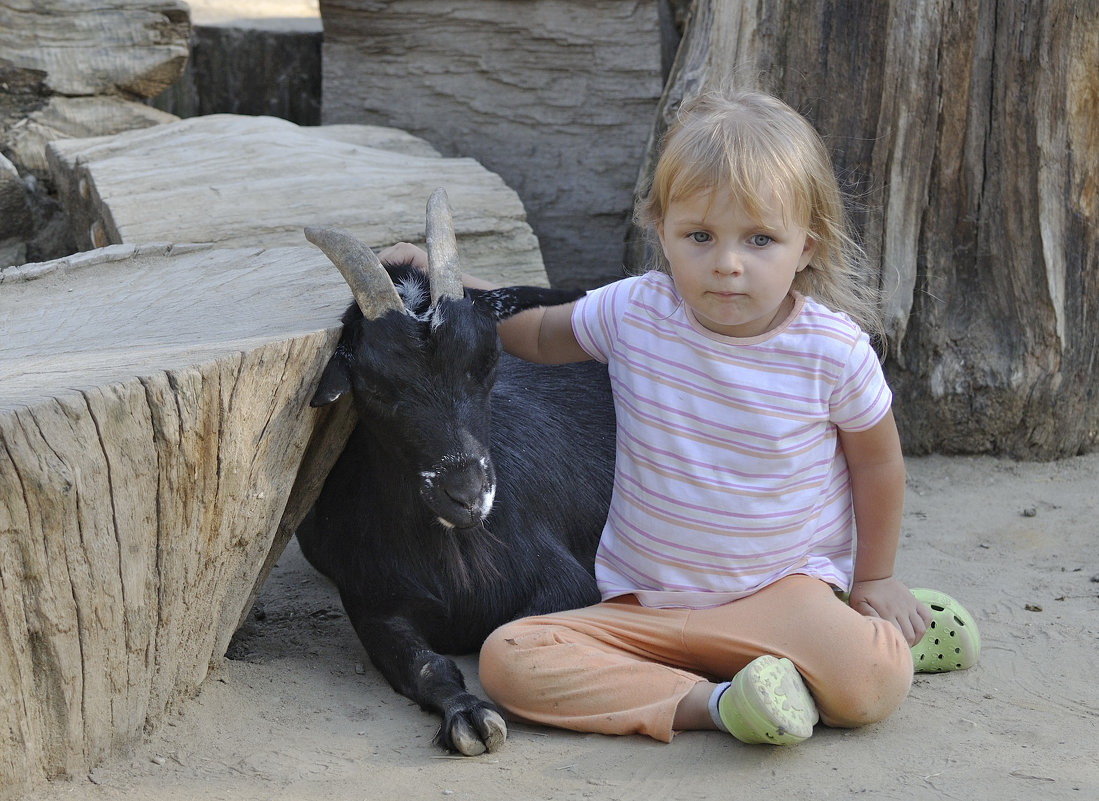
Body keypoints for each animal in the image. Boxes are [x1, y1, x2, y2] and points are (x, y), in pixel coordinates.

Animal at [296, 190, 615, 751]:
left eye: (488, 362)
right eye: (373, 386)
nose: (467, 496)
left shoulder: (569, 584)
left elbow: (501, 636)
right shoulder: (373, 602)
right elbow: (426, 667)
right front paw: (468, 715)